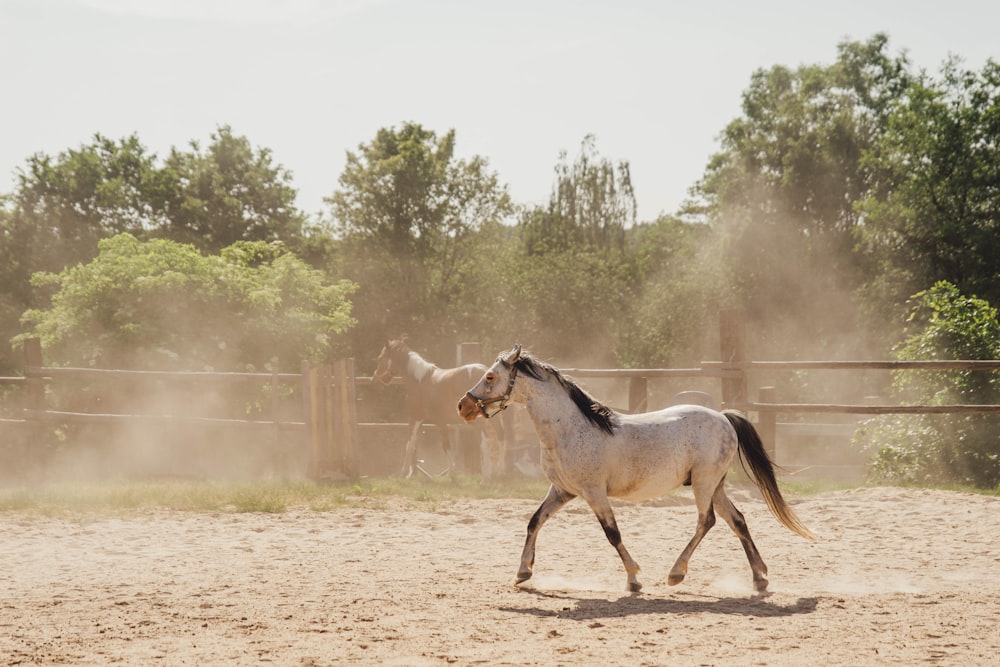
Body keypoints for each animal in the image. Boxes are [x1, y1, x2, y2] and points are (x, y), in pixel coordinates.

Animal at [374, 340, 508, 480]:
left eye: (381, 358)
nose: (376, 379)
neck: (420, 380)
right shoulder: (438, 421)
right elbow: (444, 446)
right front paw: (451, 473)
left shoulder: (416, 417)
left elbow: (410, 445)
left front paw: (403, 473)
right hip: (493, 418)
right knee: (501, 438)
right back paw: (499, 472)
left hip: (478, 422)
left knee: (486, 442)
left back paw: (486, 477)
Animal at [458, 348, 812, 592]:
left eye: (490, 377)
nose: (463, 406)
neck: (568, 429)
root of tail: (724, 417)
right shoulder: (563, 491)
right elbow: (534, 522)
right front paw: (523, 572)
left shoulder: (593, 492)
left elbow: (612, 533)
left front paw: (633, 580)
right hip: (716, 485)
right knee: (736, 520)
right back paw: (759, 578)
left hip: (704, 483)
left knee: (707, 521)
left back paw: (676, 573)